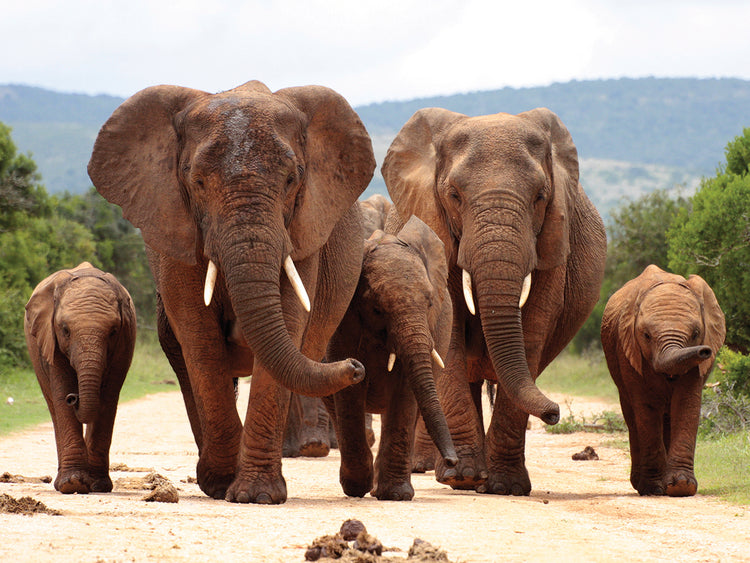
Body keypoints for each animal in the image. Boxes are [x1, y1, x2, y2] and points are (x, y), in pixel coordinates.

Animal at [24, 262, 136, 494]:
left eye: (113, 331)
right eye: (65, 330)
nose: (73, 397)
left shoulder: (124, 341)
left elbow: (109, 397)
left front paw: (98, 485)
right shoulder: (50, 337)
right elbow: (60, 392)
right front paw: (73, 484)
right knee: (53, 405)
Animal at [88, 81, 376, 504]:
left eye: (292, 180)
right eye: (197, 182)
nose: (356, 366)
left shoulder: (303, 231)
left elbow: (289, 324)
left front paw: (256, 495)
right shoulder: (175, 230)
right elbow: (199, 337)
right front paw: (223, 484)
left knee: (310, 361)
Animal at [325, 215, 458, 500]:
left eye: (430, 303)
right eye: (377, 309)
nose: (453, 461)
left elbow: (406, 391)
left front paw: (395, 494)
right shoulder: (343, 324)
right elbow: (350, 390)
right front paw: (357, 488)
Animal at [381, 107, 607, 495]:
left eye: (540, 196)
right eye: (454, 195)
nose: (554, 413)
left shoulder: (552, 244)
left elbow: (532, 330)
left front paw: (507, 487)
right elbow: (451, 333)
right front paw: (465, 478)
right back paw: (453, 473)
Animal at [601, 264, 726, 496]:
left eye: (696, 333)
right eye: (646, 335)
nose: (705, 351)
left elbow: (687, 403)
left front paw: (681, 486)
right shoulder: (628, 349)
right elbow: (646, 408)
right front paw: (654, 488)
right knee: (633, 416)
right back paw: (641, 484)